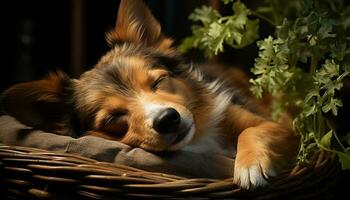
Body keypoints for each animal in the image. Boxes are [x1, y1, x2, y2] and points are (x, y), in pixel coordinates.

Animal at [0, 0, 298, 189]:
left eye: (158, 82)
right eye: (113, 119)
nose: (167, 119)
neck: (200, 139)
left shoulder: (278, 124)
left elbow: (252, 131)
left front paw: (249, 165)